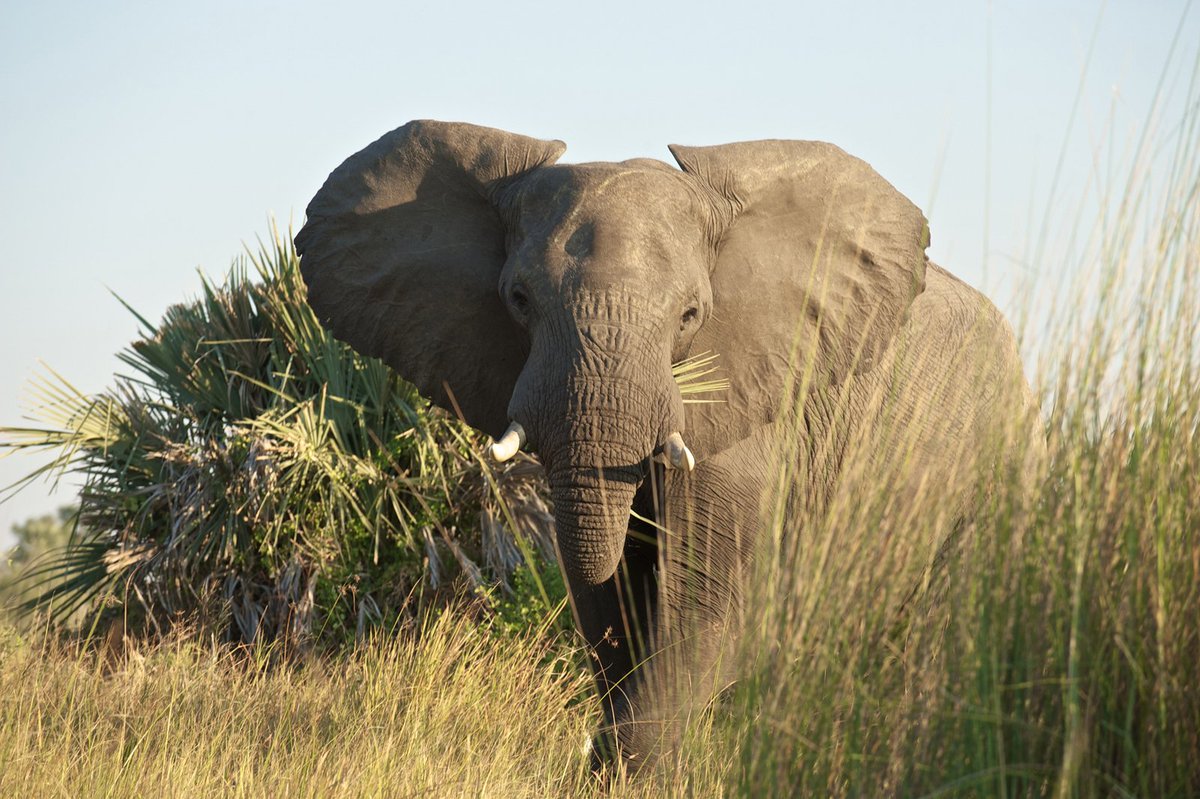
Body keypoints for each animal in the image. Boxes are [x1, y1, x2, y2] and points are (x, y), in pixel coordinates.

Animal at [294, 120, 1040, 770]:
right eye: (518, 300)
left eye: (690, 315)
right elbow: (607, 596)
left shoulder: (752, 411)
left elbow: (708, 602)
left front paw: (633, 764)